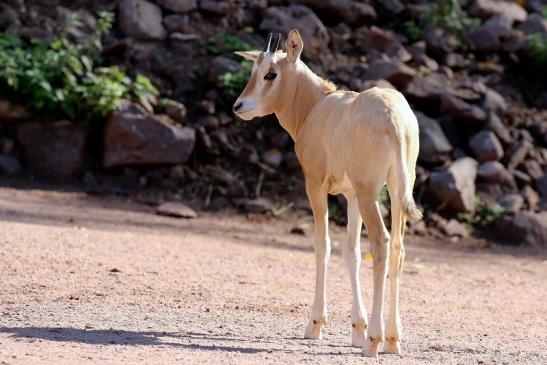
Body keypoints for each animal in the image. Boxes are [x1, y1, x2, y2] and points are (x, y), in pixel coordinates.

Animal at [233, 29, 422, 356]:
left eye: (271, 73)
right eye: (254, 71)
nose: (239, 106)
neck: (315, 106)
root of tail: (396, 120)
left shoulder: (315, 184)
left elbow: (323, 245)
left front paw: (315, 325)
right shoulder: (351, 196)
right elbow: (351, 251)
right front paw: (356, 329)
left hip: (371, 192)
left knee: (382, 243)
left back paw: (375, 341)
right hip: (397, 190)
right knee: (398, 247)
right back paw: (392, 340)